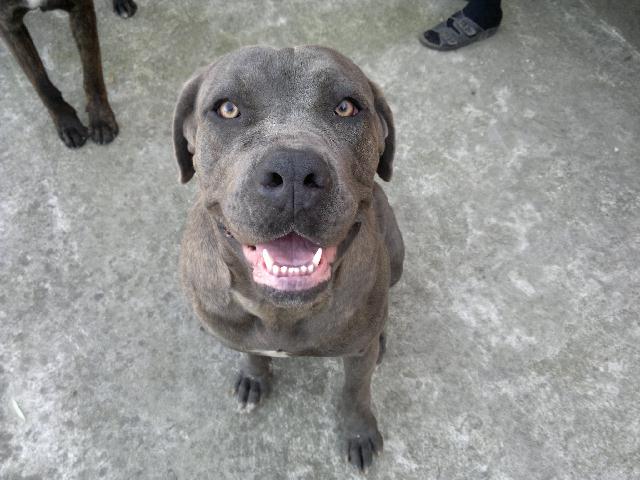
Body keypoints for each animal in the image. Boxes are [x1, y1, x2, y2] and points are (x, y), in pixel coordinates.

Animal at [0, 0, 137, 148]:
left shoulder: (81, 9)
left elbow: (92, 71)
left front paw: (101, 119)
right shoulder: (8, 24)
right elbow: (41, 83)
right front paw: (67, 123)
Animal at [173, 46, 404, 471]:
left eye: (346, 107)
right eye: (227, 108)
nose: (294, 170)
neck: (278, 311)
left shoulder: (357, 357)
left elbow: (355, 390)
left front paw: (358, 431)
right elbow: (249, 350)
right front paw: (254, 375)